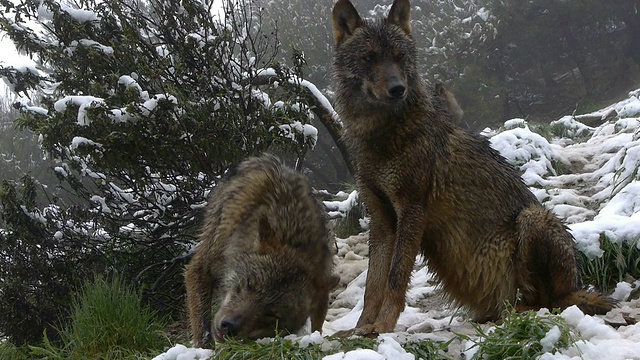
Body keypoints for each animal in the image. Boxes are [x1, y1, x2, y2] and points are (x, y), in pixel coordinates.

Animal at [182, 153, 338, 348]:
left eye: (272, 315)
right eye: (250, 284)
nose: (229, 326)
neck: (293, 234)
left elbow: (318, 325)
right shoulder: (199, 269)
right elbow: (202, 325)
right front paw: (204, 349)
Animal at [332, 0, 612, 336]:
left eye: (400, 57)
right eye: (370, 58)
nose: (398, 88)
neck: (382, 135)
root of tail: (577, 285)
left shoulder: (412, 210)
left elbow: (396, 277)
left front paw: (384, 324)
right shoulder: (381, 218)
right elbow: (373, 283)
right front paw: (360, 327)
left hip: (533, 218)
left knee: (549, 301)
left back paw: (516, 310)